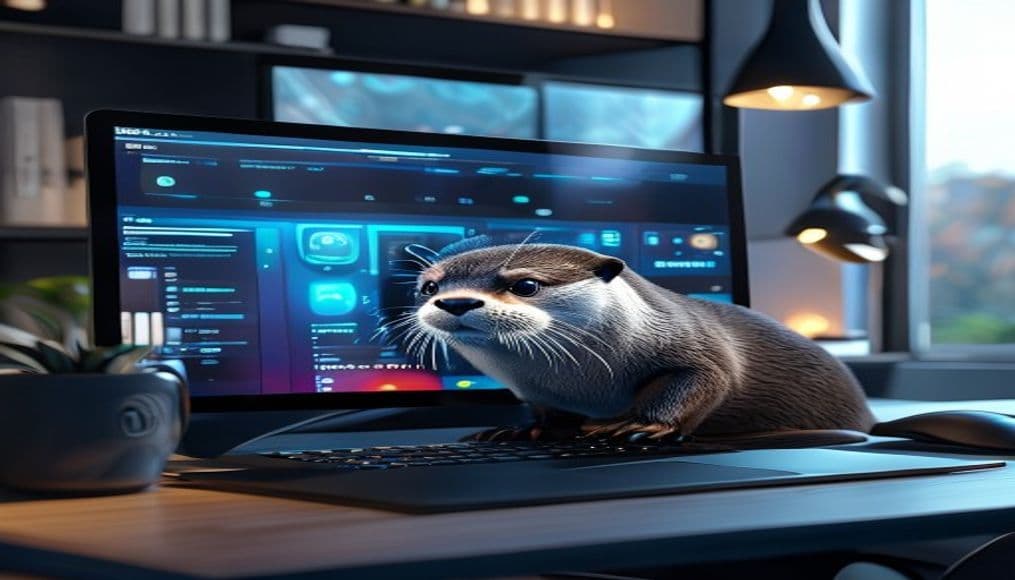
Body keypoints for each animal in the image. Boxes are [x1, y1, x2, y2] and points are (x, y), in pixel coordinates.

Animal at [399, 239, 875, 440]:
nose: (455, 302)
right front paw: (518, 431)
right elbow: (544, 413)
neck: (584, 385)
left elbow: (706, 378)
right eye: (430, 287)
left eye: (526, 285)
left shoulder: (692, 344)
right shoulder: (537, 392)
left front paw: (638, 424)